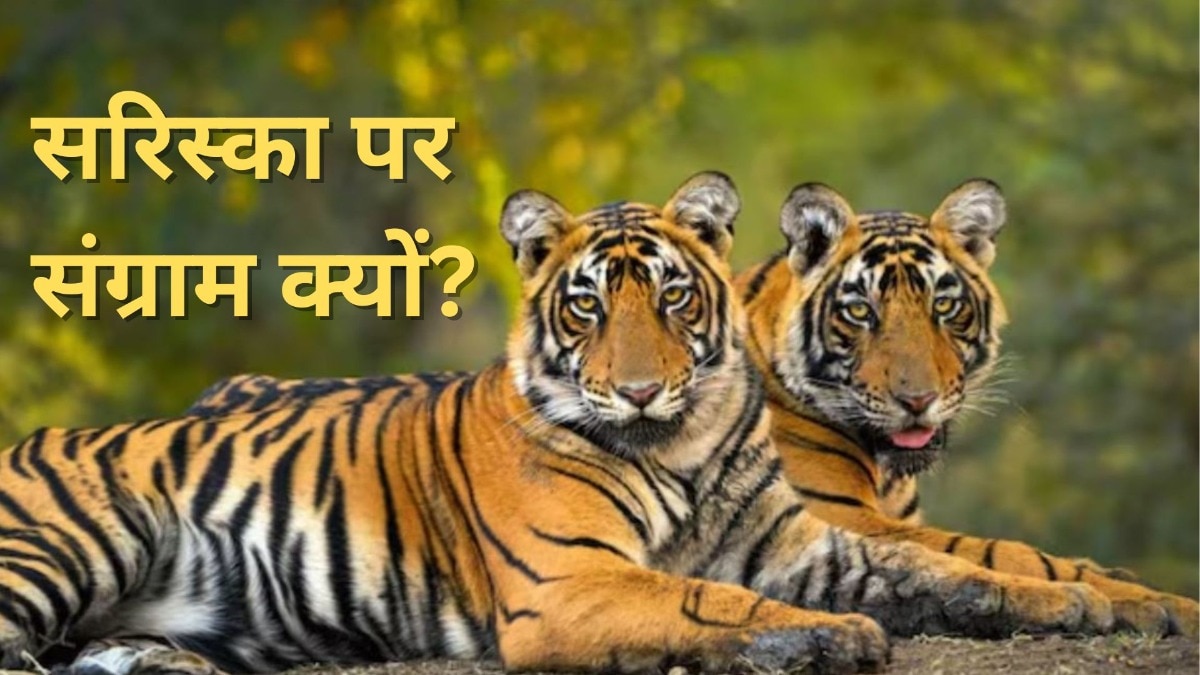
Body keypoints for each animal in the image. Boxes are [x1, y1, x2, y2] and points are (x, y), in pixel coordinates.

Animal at [0, 172, 1116, 675]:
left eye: (671, 298)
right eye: (587, 307)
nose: (640, 391)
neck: (683, 443)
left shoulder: (803, 544)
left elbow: (952, 563)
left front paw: (1084, 602)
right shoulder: (570, 582)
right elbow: (705, 599)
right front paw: (828, 638)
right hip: (84, 535)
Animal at [736, 178, 1200, 638]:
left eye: (943, 305)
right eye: (859, 311)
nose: (917, 399)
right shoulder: (833, 514)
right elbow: (1002, 553)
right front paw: (1157, 602)